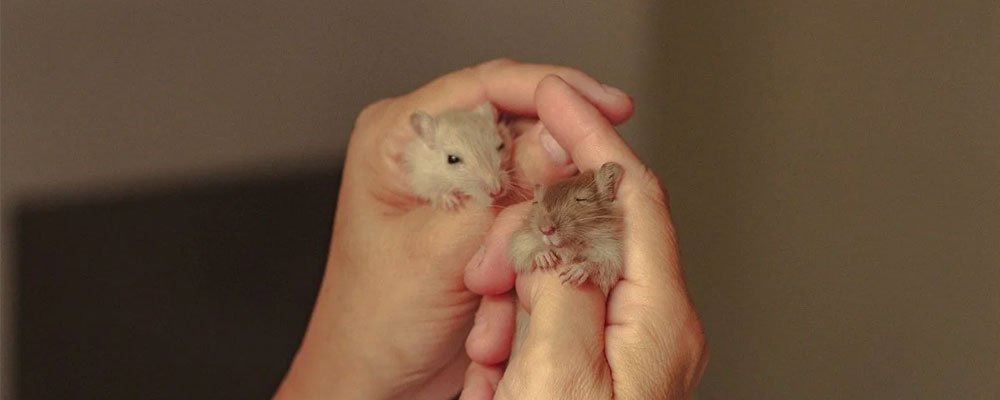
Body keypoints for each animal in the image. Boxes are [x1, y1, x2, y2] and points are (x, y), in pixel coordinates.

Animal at [508, 162, 625, 294]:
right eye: (536, 203)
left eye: (582, 199)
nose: (546, 229)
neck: (568, 246)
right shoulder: (521, 242)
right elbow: (527, 249)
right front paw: (546, 259)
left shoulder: (611, 256)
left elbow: (597, 264)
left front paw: (572, 274)